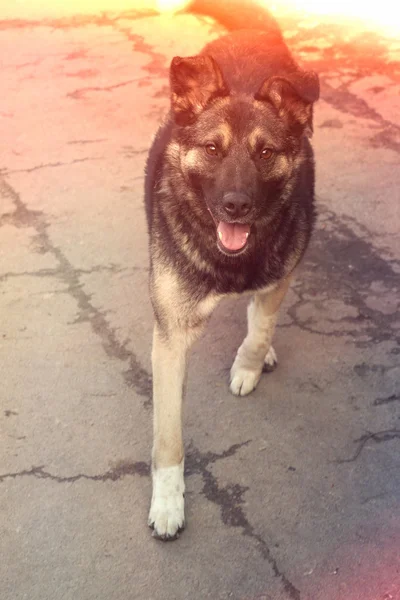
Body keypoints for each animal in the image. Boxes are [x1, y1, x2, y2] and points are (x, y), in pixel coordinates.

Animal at [144, 0, 318, 540]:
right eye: (213, 149)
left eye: (265, 152)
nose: (237, 206)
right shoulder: (170, 338)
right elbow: (169, 437)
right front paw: (169, 502)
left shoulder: (280, 275)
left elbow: (260, 329)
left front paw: (248, 364)